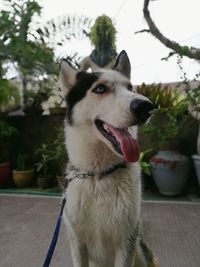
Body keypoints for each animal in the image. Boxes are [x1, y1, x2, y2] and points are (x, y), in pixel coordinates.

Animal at [59, 50, 158, 267]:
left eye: (130, 87)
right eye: (100, 88)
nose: (146, 106)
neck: (99, 176)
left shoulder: (126, 243)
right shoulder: (77, 243)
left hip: (140, 251)